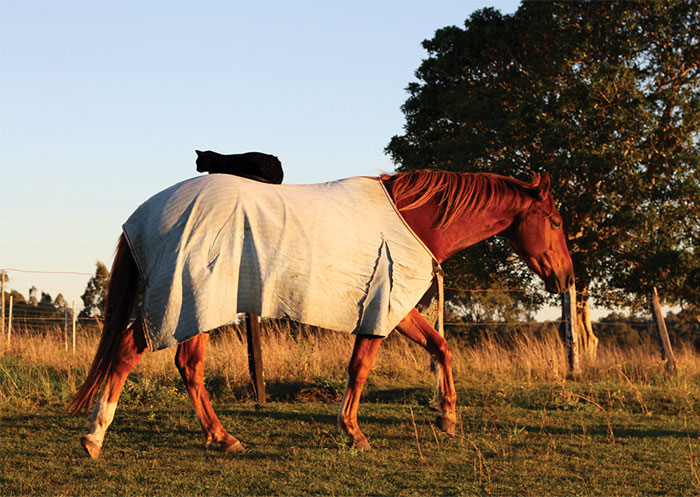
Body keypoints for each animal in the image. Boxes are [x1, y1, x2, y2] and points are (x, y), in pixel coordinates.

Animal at [69, 169, 574, 458]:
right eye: (555, 221)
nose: (566, 277)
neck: (414, 220)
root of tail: (143, 215)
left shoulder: (396, 309)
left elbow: (440, 347)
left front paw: (446, 417)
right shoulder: (381, 307)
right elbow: (360, 369)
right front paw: (353, 432)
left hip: (198, 307)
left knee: (186, 367)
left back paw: (220, 437)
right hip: (187, 302)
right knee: (133, 352)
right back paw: (96, 435)